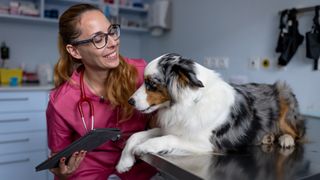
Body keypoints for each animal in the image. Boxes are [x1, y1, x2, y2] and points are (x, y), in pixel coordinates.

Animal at [116, 52, 306, 172]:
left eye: (152, 84)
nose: (130, 101)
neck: (191, 102)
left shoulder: (206, 143)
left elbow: (168, 139)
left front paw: (143, 147)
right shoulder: (170, 127)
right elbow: (137, 135)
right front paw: (124, 162)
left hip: (284, 94)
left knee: (298, 133)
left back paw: (285, 139)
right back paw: (268, 137)